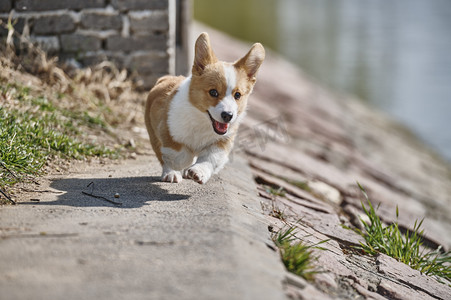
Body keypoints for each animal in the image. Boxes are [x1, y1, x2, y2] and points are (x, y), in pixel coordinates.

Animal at [145, 32, 264, 183]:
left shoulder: (221, 142)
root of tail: (165, 78)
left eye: (237, 95)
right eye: (213, 92)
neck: (202, 121)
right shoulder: (167, 131)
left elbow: (210, 158)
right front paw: (183, 164)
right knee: (163, 158)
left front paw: (197, 172)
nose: (228, 116)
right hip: (153, 133)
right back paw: (171, 174)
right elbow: (179, 154)